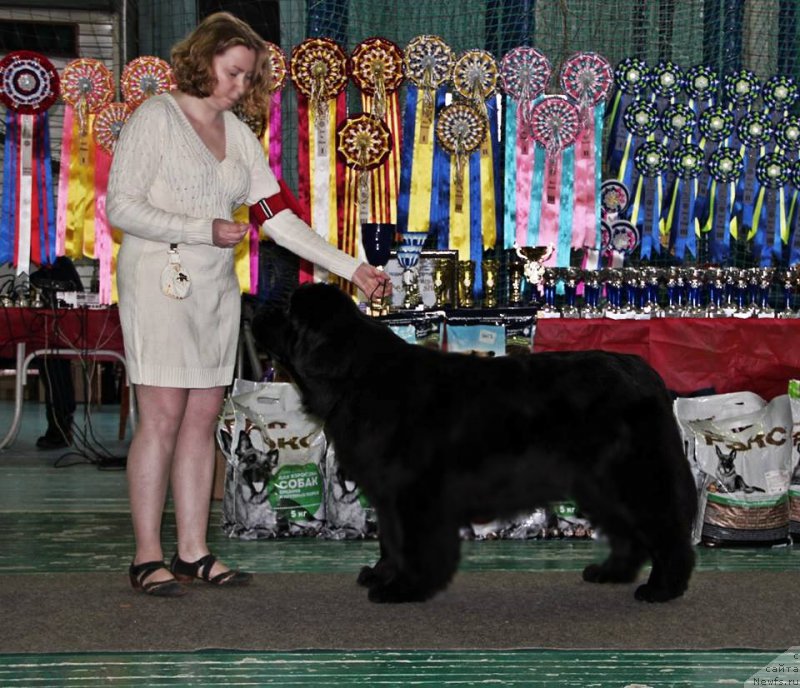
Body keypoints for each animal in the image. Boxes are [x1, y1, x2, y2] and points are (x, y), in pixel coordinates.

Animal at [253, 282, 696, 604]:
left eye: (288, 308)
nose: (258, 307)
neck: (356, 375)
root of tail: (644, 372)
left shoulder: (414, 491)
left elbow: (411, 542)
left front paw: (403, 588)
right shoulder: (390, 493)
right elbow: (390, 539)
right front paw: (382, 575)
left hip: (629, 477)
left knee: (666, 530)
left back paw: (662, 589)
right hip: (598, 484)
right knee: (630, 533)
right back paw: (611, 573)